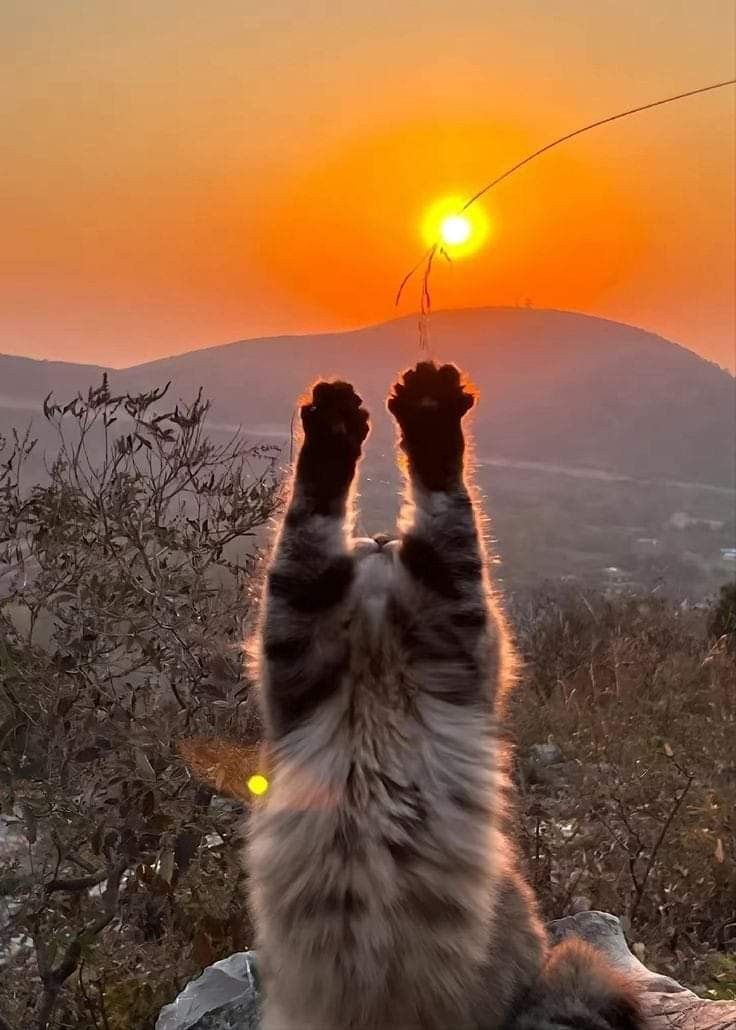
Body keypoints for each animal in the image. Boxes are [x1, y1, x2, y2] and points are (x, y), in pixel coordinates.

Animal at [244, 362, 642, 1030]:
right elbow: (316, 512)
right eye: (367, 544)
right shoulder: (299, 640)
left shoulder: (450, 621)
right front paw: (337, 426)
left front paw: (427, 411)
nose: (381, 539)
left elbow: (443, 508)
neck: (377, 685)